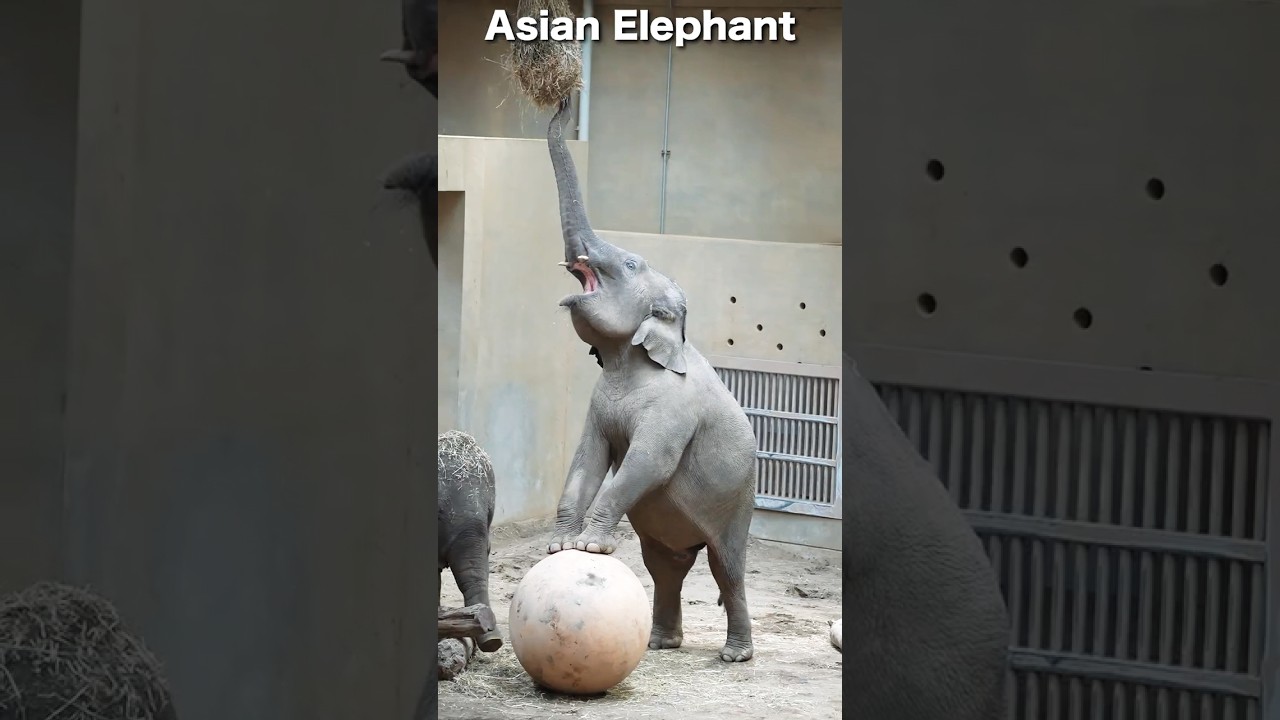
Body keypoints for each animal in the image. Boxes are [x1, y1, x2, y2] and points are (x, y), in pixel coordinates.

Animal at [543, 97, 759, 663]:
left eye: (630, 263)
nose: (563, 101)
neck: (629, 361)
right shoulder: (597, 403)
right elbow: (588, 457)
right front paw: (559, 546)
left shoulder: (673, 409)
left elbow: (647, 461)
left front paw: (589, 547)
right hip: (672, 535)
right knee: (666, 566)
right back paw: (662, 643)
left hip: (739, 500)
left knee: (726, 569)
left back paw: (734, 655)